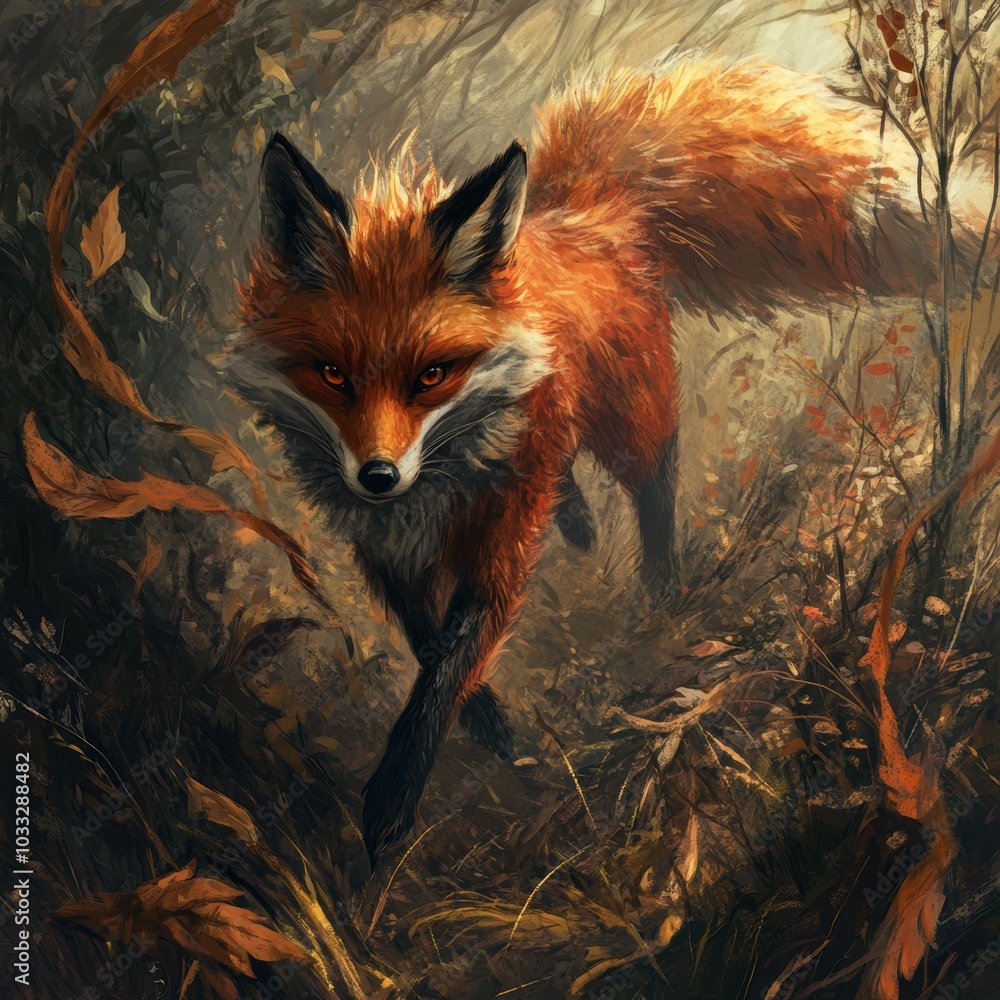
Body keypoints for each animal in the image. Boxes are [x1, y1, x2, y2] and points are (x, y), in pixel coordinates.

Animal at [225, 62, 906, 865]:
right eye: (333, 374)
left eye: (432, 375)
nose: (378, 477)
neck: (439, 484)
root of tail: (586, 208)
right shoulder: (385, 550)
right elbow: (427, 642)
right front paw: (484, 722)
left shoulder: (498, 542)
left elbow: (449, 663)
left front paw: (396, 797)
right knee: (572, 479)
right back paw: (579, 522)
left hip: (630, 419)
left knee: (655, 483)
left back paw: (663, 588)